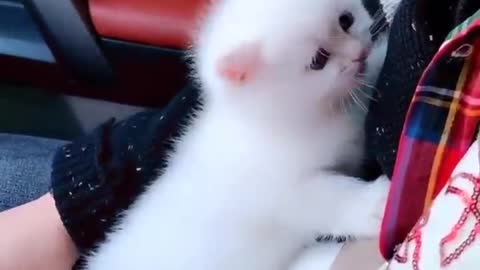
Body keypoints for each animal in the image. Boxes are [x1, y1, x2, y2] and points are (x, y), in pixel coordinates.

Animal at [82, 0, 390, 268]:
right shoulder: (279, 191)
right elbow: (326, 199)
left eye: (346, 20)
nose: (359, 54)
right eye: (318, 60)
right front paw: (375, 205)